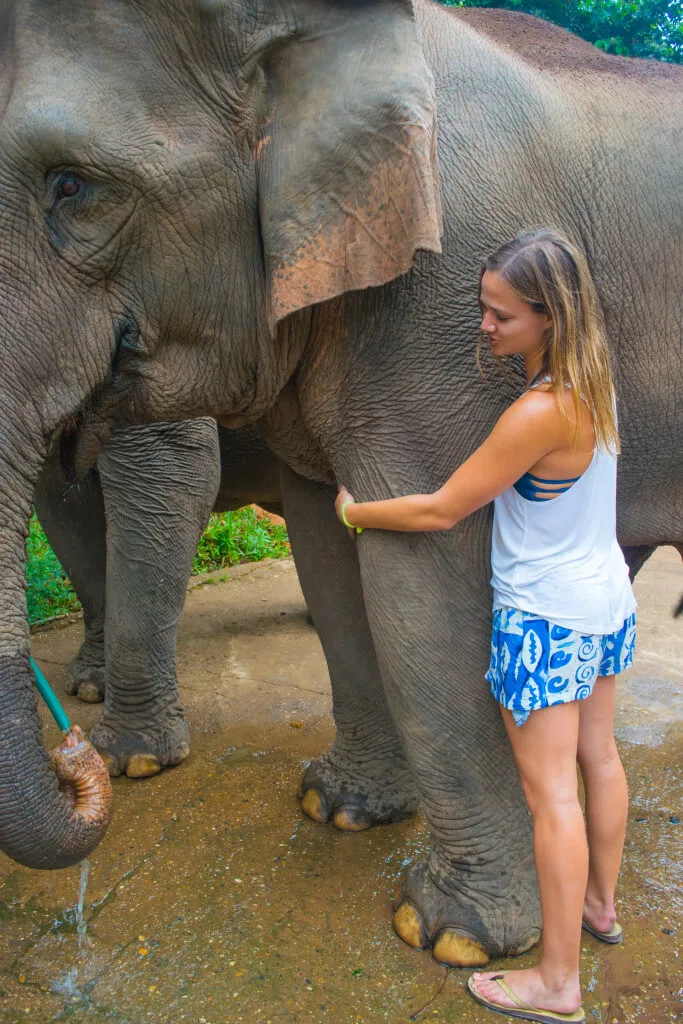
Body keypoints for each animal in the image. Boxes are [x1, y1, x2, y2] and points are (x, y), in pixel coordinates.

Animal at [1, 0, 681, 969]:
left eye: (72, 186)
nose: (70, 760)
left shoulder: (448, 301)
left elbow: (416, 573)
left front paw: (452, 939)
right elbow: (326, 545)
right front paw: (341, 810)